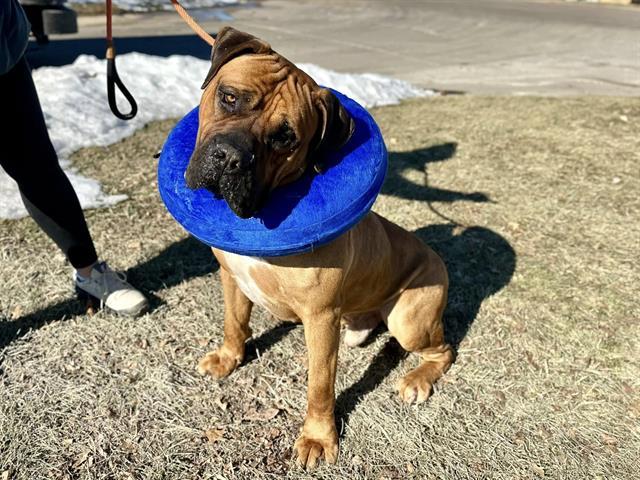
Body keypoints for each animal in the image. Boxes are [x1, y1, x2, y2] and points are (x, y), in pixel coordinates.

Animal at [185, 27, 456, 468]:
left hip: (410, 321)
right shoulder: (231, 277)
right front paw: (227, 358)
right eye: (229, 97)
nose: (229, 158)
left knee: (443, 350)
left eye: (285, 137)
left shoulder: (321, 318)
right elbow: (234, 322)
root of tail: (437, 257)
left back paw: (416, 380)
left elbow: (319, 386)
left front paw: (317, 437)